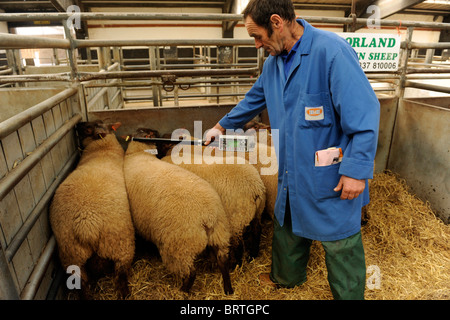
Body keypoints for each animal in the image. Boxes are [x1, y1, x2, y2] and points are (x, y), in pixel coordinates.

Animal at [49, 121, 134, 298]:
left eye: (88, 128)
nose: (77, 124)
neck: (103, 148)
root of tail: (87, 226)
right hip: (115, 247)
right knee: (119, 276)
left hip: (73, 255)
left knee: (84, 285)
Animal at [125, 138, 234, 296]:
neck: (137, 154)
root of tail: (207, 215)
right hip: (219, 233)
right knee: (222, 260)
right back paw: (228, 289)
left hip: (180, 246)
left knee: (191, 273)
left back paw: (183, 291)